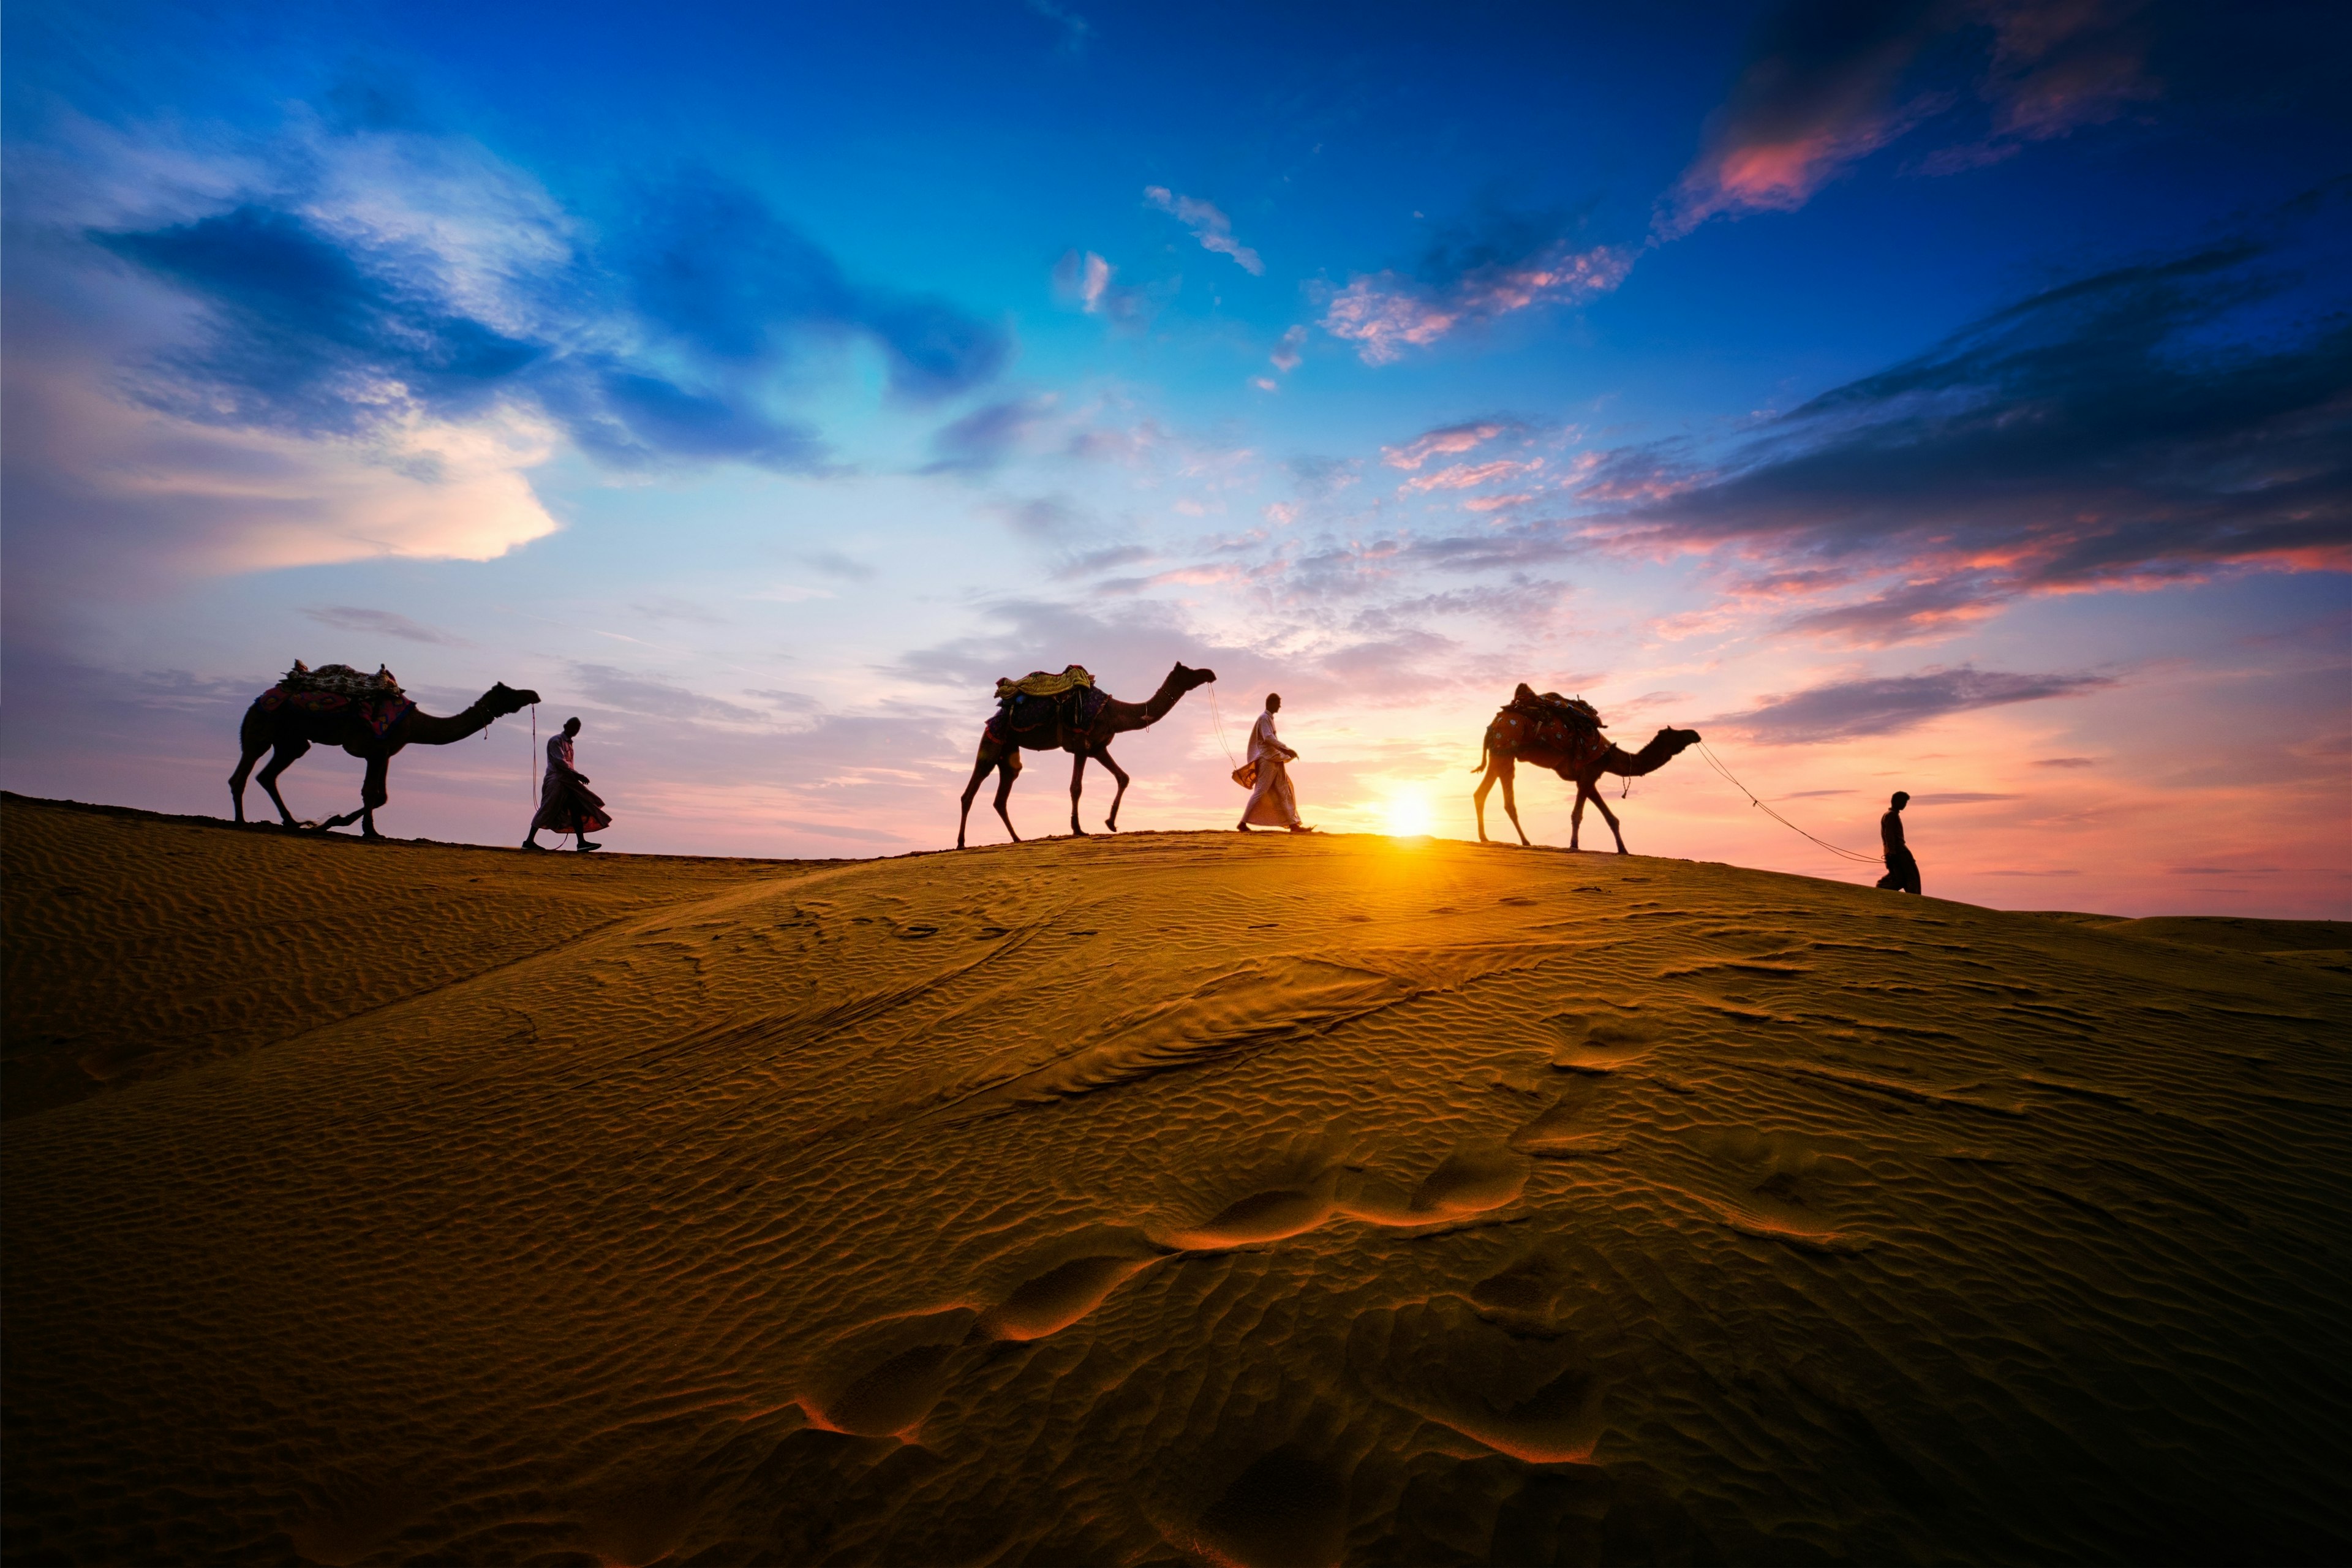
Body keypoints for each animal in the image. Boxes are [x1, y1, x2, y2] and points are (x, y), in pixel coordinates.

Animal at [230, 677, 541, 842]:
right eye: (510, 693)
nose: (534, 694)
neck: (415, 724)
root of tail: (260, 697)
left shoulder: (387, 752)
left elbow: (382, 796)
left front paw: (335, 821)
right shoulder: (376, 749)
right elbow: (371, 792)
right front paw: (367, 831)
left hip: (291, 741)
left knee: (267, 775)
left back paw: (292, 822)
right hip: (262, 726)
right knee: (242, 774)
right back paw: (240, 821)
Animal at [950, 668, 1213, 860]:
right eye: (1190, 672)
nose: (1210, 673)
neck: (1113, 713)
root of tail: (994, 716)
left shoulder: (1098, 748)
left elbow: (1123, 777)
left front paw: (1110, 823)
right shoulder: (1081, 744)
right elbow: (1076, 787)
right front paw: (1078, 829)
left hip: (1009, 751)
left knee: (1002, 794)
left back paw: (1017, 839)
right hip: (993, 740)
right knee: (970, 791)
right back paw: (961, 843)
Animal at [1468, 691, 1693, 851]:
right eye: (1678, 735)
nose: (1695, 734)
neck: (1609, 756)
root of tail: (1494, 723)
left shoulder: (1587, 778)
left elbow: (1612, 818)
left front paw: (1623, 850)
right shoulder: (1589, 772)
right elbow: (1577, 814)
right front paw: (1574, 845)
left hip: (1500, 752)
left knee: (1483, 794)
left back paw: (1487, 838)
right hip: (1505, 747)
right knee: (1503, 799)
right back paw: (1523, 841)